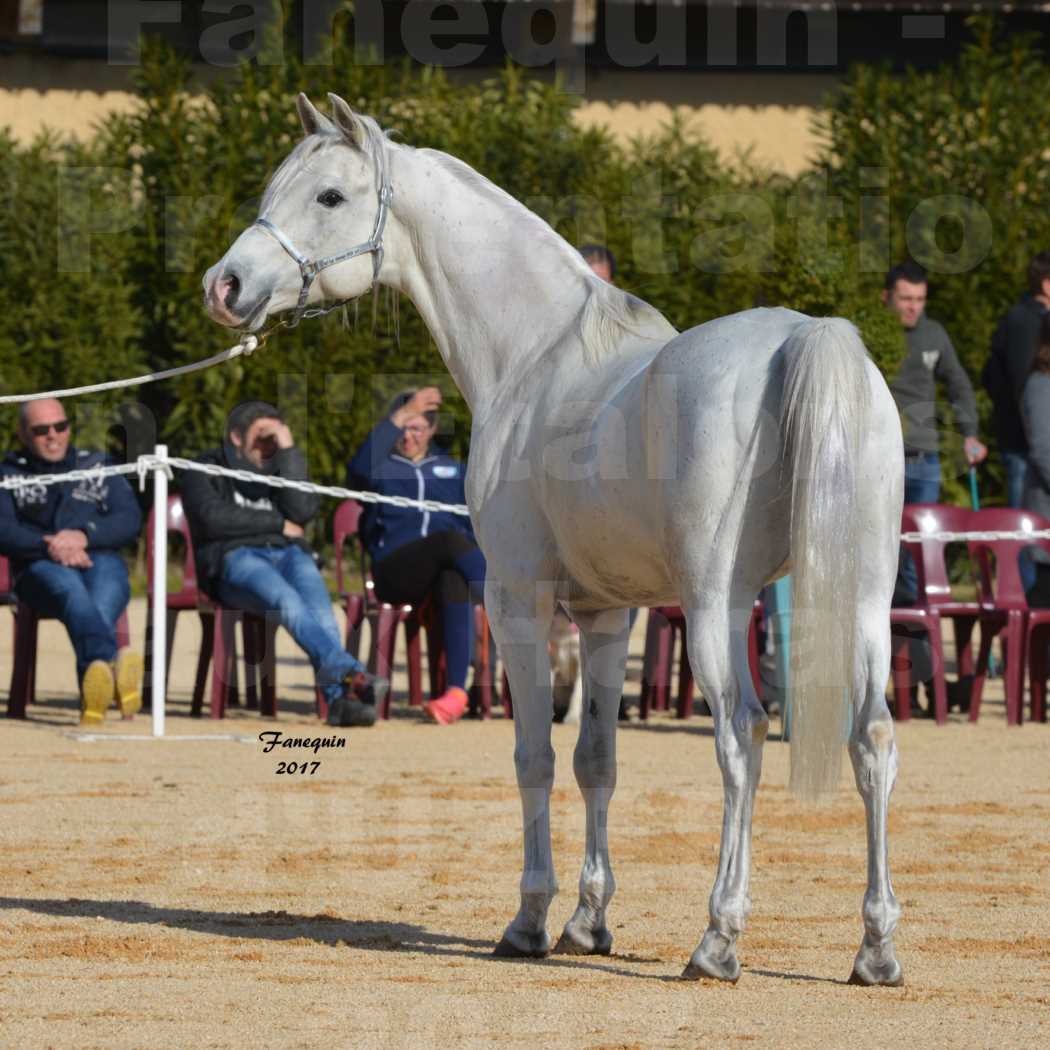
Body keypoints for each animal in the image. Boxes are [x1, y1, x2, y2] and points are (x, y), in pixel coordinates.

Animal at [202, 96, 902, 982]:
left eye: (329, 196)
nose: (224, 285)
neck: (534, 355)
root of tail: (803, 339)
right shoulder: (607, 616)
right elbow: (596, 757)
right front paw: (589, 921)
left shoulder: (518, 603)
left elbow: (533, 754)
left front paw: (530, 921)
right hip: (863, 597)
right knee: (871, 736)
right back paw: (876, 947)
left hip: (718, 603)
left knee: (742, 735)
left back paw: (718, 939)